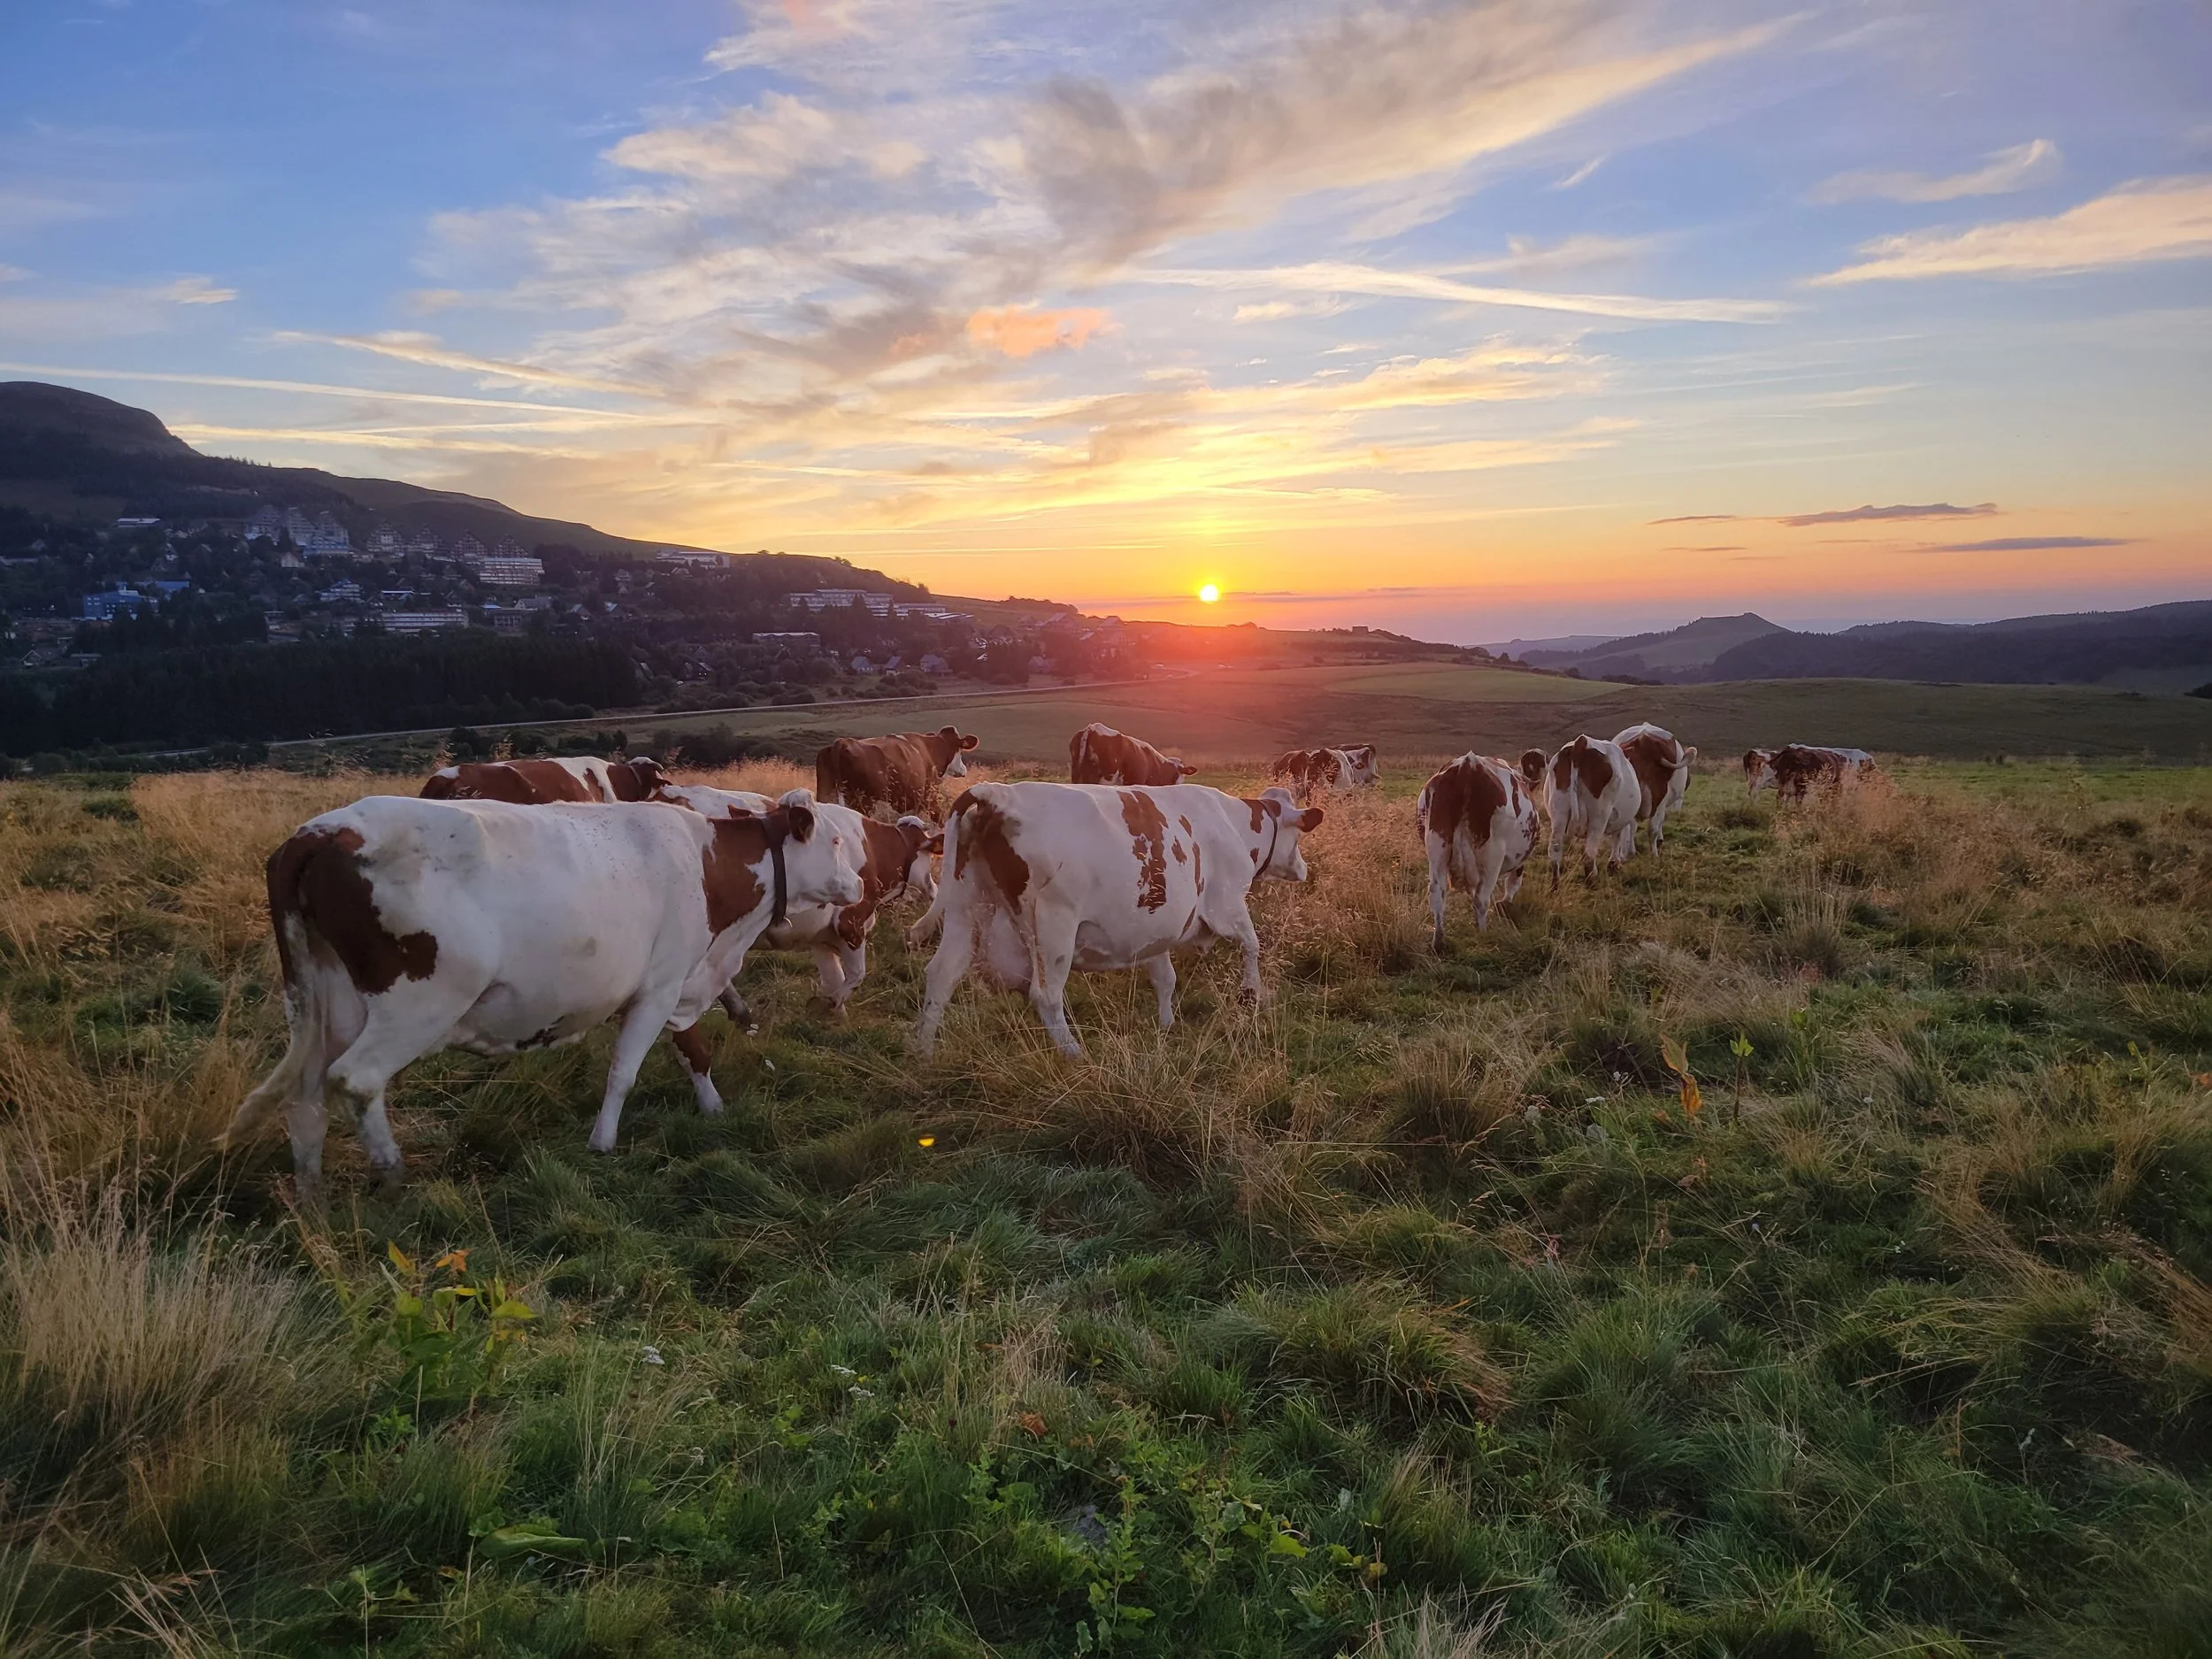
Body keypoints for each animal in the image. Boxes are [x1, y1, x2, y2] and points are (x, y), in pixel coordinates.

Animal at [221, 794, 862, 1199]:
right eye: (835, 838)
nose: (859, 882)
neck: (708, 867)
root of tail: (320, 831)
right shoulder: (659, 985)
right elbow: (624, 1072)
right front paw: (603, 1142)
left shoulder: (680, 979)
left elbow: (693, 1052)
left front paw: (712, 1108)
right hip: (418, 1001)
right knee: (358, 1078)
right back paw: (391, 1170)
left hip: (326, 1002)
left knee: (306, 1093)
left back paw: (310, 1192)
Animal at [651, 781, 936, 1016]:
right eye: (930, 856)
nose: (934, 888)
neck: (871, 847)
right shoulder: (850, 922)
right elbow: (856, 975)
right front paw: (830, 1005)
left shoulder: (821, 935)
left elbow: (833, 977)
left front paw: (834, 1013)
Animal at [908, 782, 1322, 1056]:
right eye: (1299, 836)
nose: (1303, 868)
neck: (1233, 824)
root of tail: (995, 794)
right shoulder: (1228, 905)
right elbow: (1253, 945)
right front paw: (1251, 994)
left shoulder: (1157, 924)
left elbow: (1165, 978)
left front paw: (1167, 1024)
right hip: (1053, 926)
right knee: (1046, 994)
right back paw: (1073, 1053)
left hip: (965, 909)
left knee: (941, 975)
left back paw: (924, 1052)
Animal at [1416, 754, 1539, 947]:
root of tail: (1468, 766)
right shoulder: (1520, 859)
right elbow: (1513, 883)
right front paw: (1505, 904)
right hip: (1493, 855)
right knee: (1481, 900)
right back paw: (1483, 935)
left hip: (1437, 846)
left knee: (1437, 894)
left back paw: (1439, 941)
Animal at [1528, 735, 1641, 887]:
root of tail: (1582, 742)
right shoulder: (1620, 819)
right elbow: (1617, 837)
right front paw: (1613, 863)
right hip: (1599, 816)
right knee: (1589, 854)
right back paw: (1591, 881)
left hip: (1559, 811)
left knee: (1555, 848)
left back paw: (1555, 886)